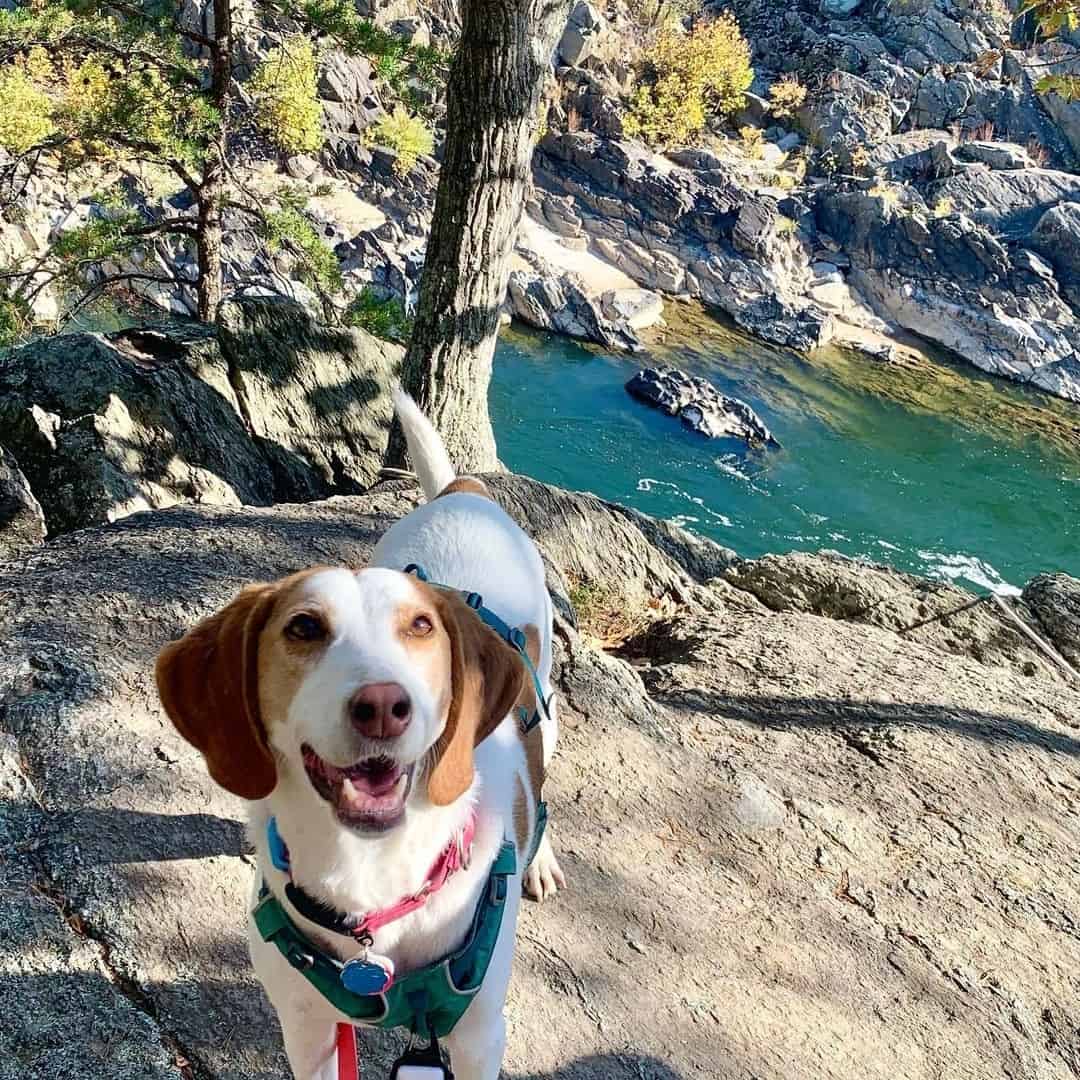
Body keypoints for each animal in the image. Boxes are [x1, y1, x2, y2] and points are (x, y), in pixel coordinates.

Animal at [157, 390, 570, 1080]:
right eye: (302, 627)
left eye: (421, 627)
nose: (382, 706)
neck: (369, 880)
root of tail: (464, 491)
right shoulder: (307, 1027)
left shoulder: (478, 1035)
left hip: (544, 700)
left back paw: (540, 857)